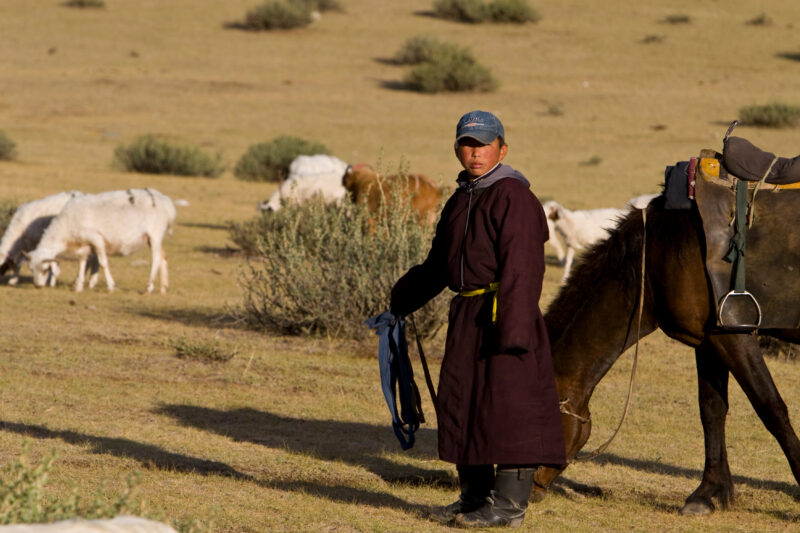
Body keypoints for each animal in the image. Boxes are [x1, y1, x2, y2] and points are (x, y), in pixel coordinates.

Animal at [27, 188, 176, 294]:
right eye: (31, 269)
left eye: (46, 270)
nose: (38, 286)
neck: (66, 226)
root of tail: (167, 203)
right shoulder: (85, 244)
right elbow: (82, 262)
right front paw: (78, 286)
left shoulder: (96, 239)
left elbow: (103, 263)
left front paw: (110, 286)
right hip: (153, 238)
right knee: (163, 257)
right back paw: (163, 288)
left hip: (155, 234)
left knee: (156, 259)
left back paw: (148, 288)